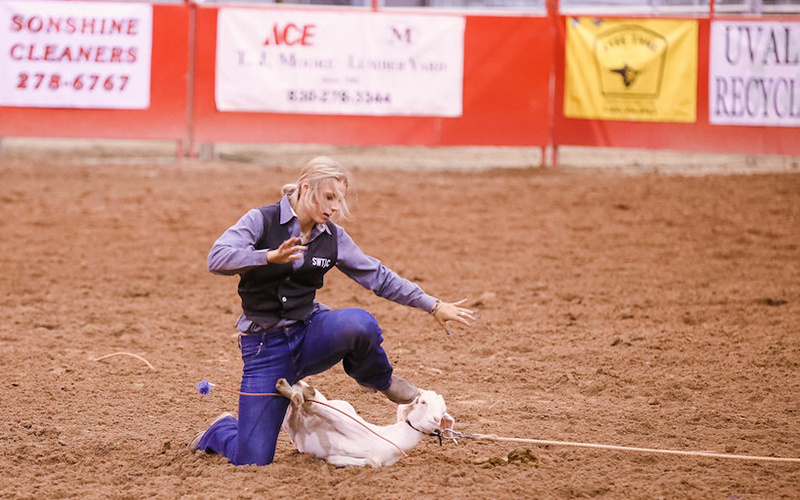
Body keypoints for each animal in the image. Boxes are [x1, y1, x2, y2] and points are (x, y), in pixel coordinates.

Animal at [276, 378, 454, 468]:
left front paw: (334, 459)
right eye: (423, 402)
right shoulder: (349, 424)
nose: (435, 419)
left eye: (443, 410)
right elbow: (316, 406)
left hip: (291, 422)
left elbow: (373, 462)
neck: (395, 437)